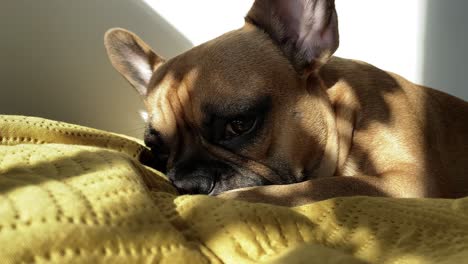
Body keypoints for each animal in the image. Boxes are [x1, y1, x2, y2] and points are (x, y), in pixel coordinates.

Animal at [103, 0, 468, 206]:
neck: (345, 116)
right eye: (157, 148)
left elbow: (321, 187)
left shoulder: (407, 179)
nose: (186, 185)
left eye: (239, 124)